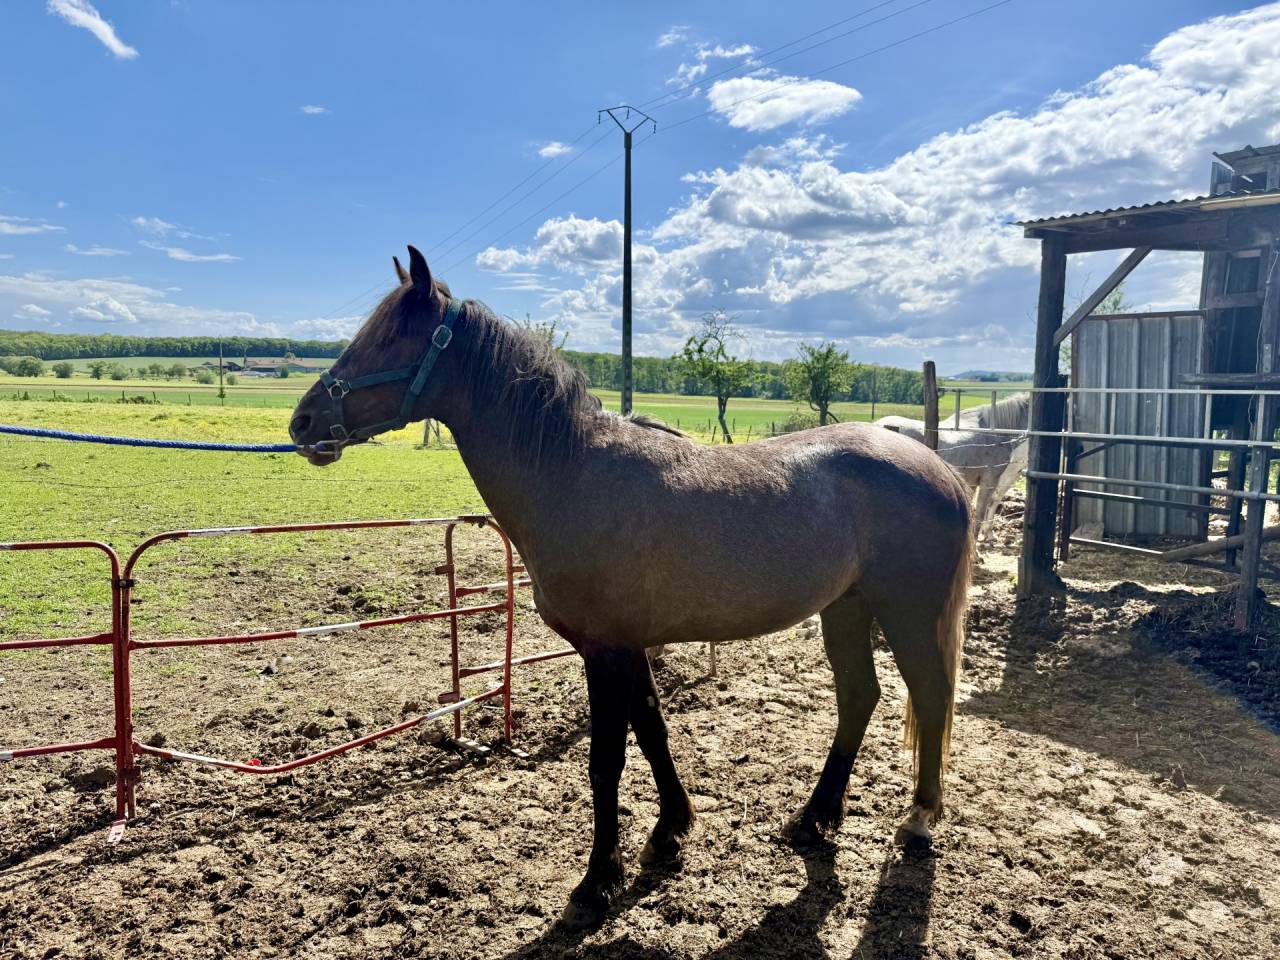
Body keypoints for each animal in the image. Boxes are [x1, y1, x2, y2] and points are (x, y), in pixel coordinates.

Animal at [288, 247, 973, 926]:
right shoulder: (629, 647)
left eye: (389, 337)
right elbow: (653, 728)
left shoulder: (605, 649)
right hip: (846, 608)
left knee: (930, 696)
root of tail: (937, 465)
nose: (303, 422)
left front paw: (597, 880)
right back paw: (813, 819)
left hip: (907, 614)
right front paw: (670, 831)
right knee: (859, 696)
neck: (572, 472)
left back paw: (918, 819)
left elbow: (607, 760)